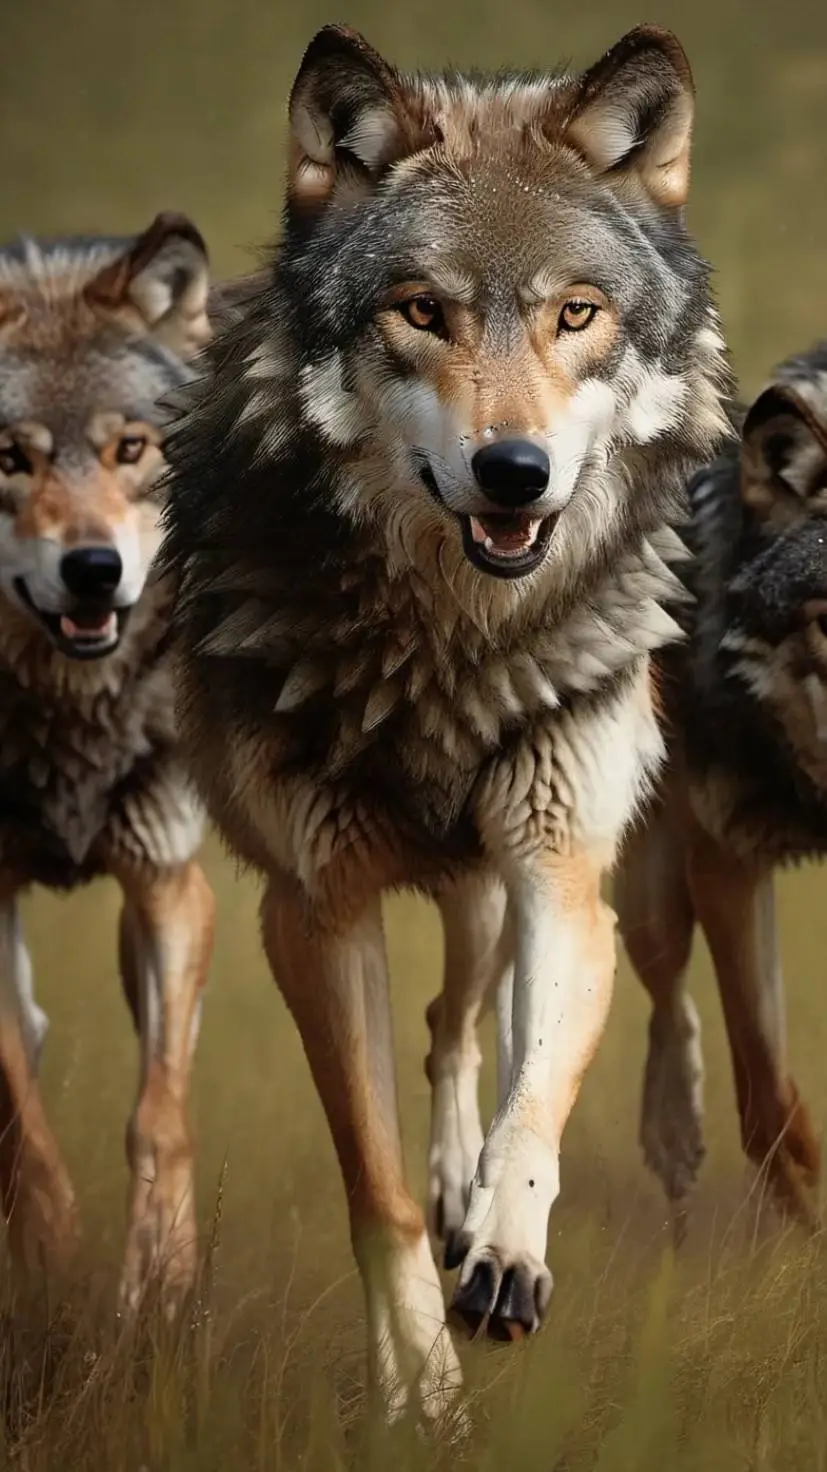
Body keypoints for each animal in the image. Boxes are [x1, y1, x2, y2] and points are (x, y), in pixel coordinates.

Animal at [160, 23, 732, 1421]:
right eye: (421, 310)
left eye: (574, 313)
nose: (511, 472)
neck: (451, 647)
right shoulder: (314, 913)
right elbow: (373, 1191)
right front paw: (420, 1390)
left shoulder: (558, 868)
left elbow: (537, 1109)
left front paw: (504, 1255)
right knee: (440, 1037)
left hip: (501, 889)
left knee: (465, 1027)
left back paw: (477, 1196)